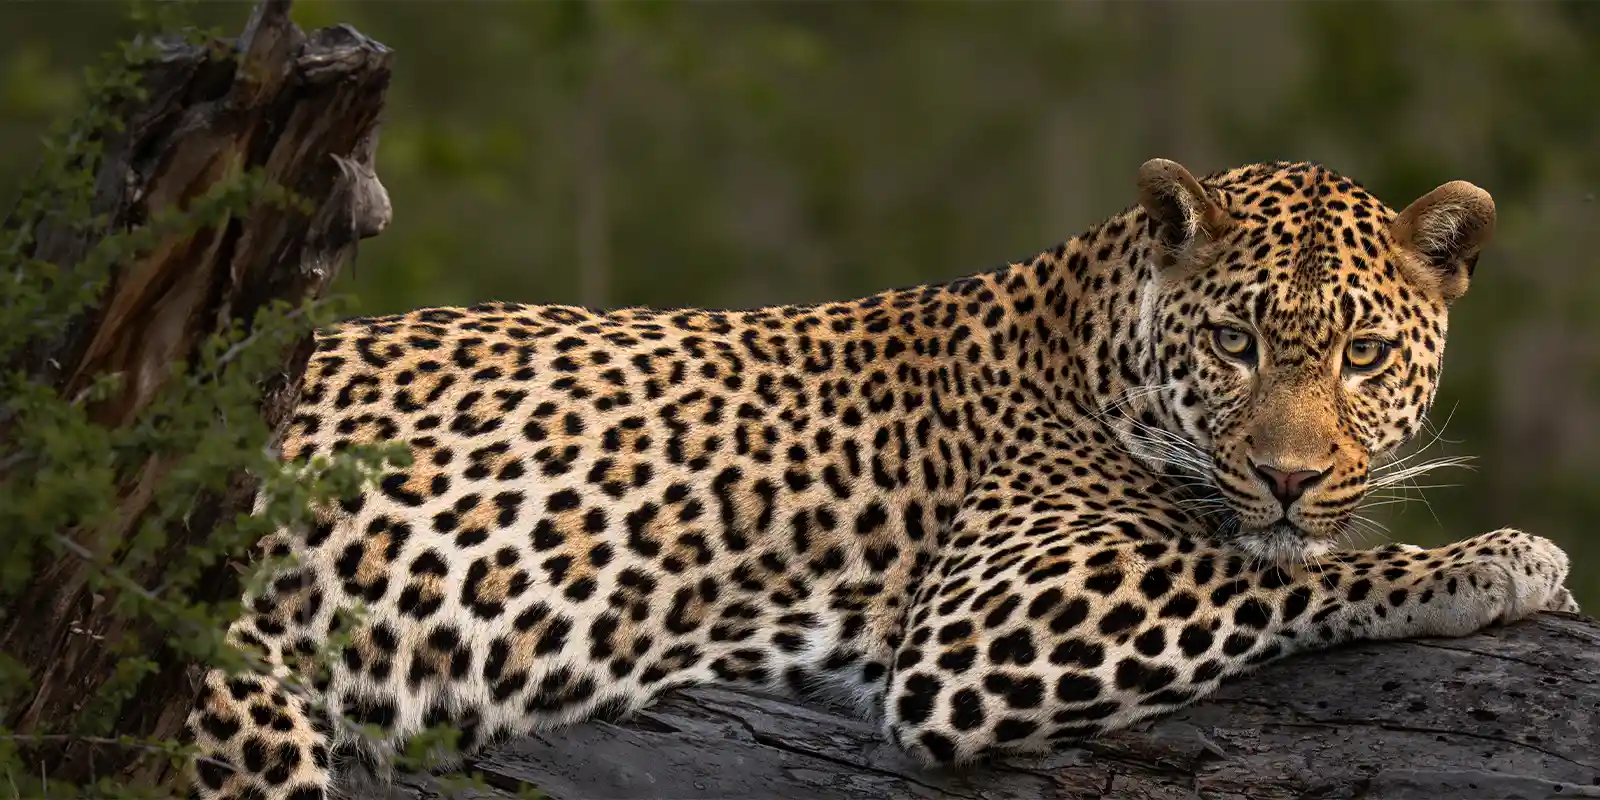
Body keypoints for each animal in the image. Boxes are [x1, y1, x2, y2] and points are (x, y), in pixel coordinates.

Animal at [184, 158, 1580, 799]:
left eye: (1363, 354)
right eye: (1235, 343)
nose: (1289, 475)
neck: (1102, 339)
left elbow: (1275, 555)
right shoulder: (993, 617)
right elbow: (1268, 572)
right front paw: (1500, 560)